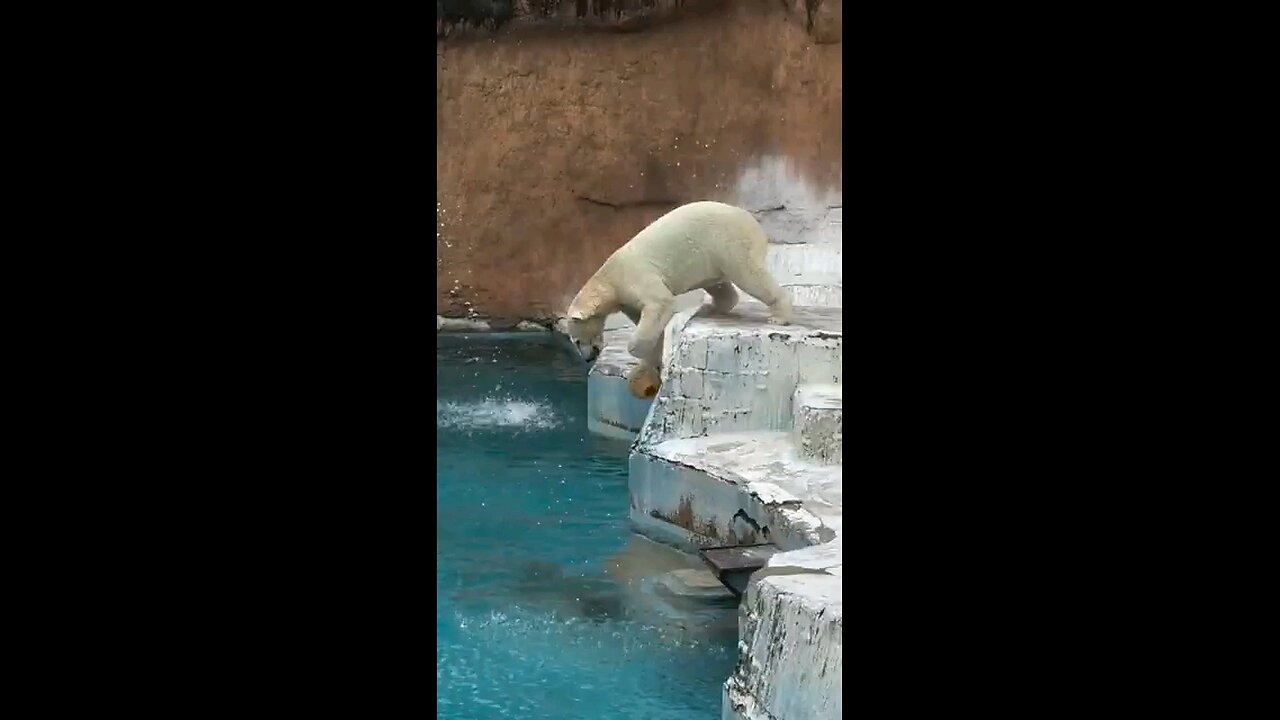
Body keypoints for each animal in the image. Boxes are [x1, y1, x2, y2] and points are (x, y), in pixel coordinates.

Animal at [568, 198, 788, 394]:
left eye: (576, 340)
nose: (587, 358)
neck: (609, 280)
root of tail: (751, 220)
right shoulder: (626, 299)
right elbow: (647, 321)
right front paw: (646, 368)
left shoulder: (635, 277)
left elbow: (660, 303)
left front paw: (639, 354)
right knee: (719, 285)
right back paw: (711, 307)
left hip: (728, 242)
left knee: (750, 275)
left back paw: (779, 316)